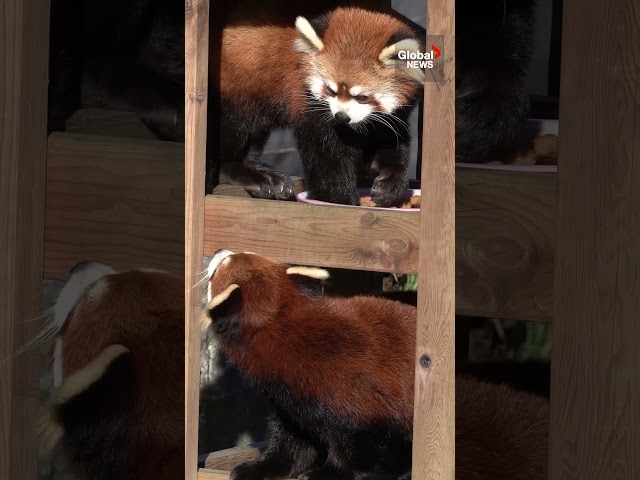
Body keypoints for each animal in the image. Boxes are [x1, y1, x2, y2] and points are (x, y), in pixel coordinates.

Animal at [205, 251, 552, 480]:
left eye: (219, 268)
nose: (218, 252)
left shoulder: (350, 397)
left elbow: (357, 447)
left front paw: (328, 473)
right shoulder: (292, 400)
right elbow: (292, 441)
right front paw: (260, 468)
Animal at [210, 6, 428, 206]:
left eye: (362, 97)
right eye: (331, 90)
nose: (342, 116)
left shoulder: (391, 116)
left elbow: (391, 141)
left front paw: (390, 184)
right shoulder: (308, 103)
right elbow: (325, 156)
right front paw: (339, 199)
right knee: (232, 128)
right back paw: (248, 174)